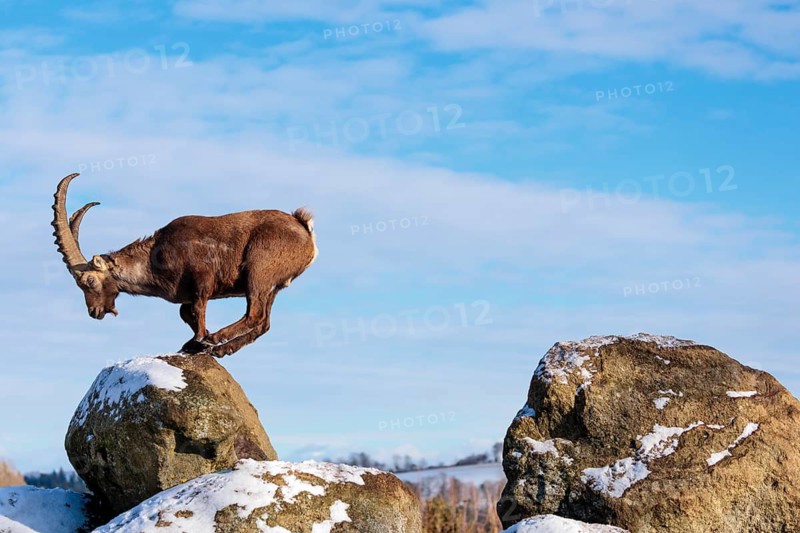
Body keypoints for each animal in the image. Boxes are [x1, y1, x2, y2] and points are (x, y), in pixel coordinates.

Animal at [51, 173, 317, 357]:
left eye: (89, 280)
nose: (94, 312)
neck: (155, 255)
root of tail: (304, 229)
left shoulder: (203, 278)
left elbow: (198, 308)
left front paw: (202, 338)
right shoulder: (188, 293)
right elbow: (185, 312)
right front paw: (195, 343)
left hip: (258, 271)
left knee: (255, 314)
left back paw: (217, 339)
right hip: (272, 287)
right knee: (264, 323)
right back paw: (223, 349)